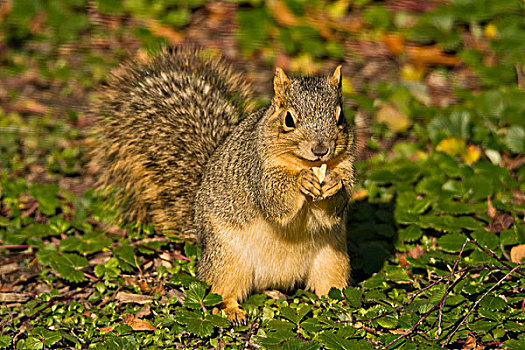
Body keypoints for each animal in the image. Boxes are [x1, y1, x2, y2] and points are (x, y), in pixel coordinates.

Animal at [93, 46, 356, 322]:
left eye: (340, 117)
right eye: (289, 120)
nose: (321, 149)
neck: (304, 163)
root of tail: (277, 279)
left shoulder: (346, 166)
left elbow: (334, 208)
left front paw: (334, 183)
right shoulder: (257, 172)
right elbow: (275, 201)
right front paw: (301, 181)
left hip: (333, 259)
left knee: (329, 285)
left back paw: (340, 304)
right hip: (227, 258)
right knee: (220, 289)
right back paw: (231, 310)